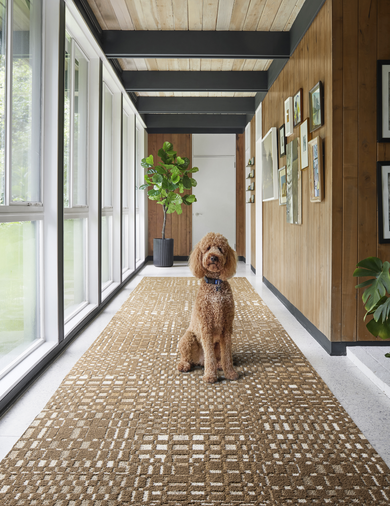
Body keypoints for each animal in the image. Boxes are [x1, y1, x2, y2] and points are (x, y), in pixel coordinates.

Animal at [177, 233, 238, 384]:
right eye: (208, 248)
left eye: (220, 249)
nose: (213, 257)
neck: (215, 284)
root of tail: (199, 361)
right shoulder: (206, 326)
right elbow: (209, 355)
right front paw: (210, 376)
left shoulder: (227, 327)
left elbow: (227, 354)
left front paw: (230, 373)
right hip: (188, 338)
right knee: (188, 357)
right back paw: (184, 365)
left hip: (217, 343)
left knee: (217, 357)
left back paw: (219, 365)